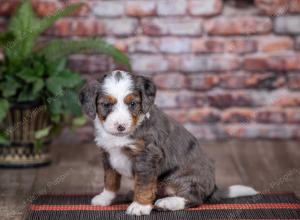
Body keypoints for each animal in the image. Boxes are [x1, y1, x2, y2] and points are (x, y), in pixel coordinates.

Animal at [78, 70, 256, 215]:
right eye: (106, 105)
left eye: (133, 104)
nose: (120, 126)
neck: (121, 137)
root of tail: (213, 188)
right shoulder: (107, 154)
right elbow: (110, 180)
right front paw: (105, 198)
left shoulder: (148, 156)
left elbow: (144, 184)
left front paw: (140, 206)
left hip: (182, 179)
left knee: (193, 198)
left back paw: (167, 203)